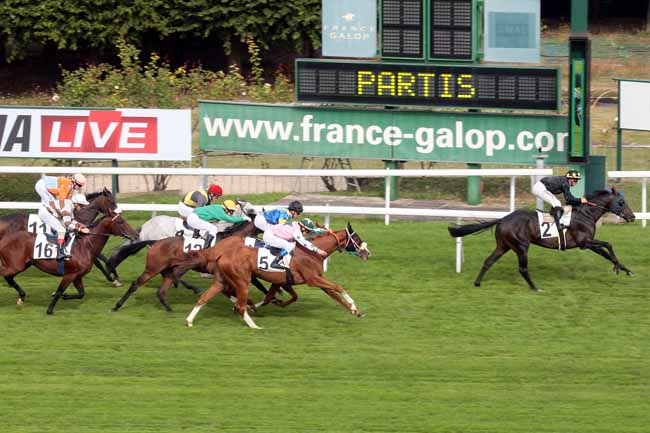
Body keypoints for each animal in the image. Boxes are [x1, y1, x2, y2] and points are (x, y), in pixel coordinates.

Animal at [0, 211, 138, 312]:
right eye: (120, 222)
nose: (136, 234)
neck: (85, 245)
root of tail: (4, 239)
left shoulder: (78, 276)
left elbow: (81, 294)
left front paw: (63, 296)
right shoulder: (69, 275)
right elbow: (59, 291)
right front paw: (50, 309)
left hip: (23, 264)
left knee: (9, 278)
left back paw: (21, 296)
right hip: (15, 265)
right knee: (6, 275)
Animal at [177, 224, 370, 330]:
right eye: (357, 238)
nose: (368, 253)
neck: (310, 252)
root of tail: (221, 253)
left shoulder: (284, 281)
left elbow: (273, 297)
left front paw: (356, 311)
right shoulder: (312, 279)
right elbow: (337, 287)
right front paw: (354, 307)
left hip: (221, 280)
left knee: (204, 298)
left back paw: (189, 320)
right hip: (242, 281)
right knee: (240, 305)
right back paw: (254, 325)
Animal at [446, 188, 632, 292]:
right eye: (622, 202)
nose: (632, 216)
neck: (586, 214)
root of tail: (502, 219)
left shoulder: (588, 243)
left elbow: (606, 253)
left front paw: (625, 269)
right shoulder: (584, 242)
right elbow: (609, 245)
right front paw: (617, 268)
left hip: (504, 245)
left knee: (488, 261)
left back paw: (477, 283)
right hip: (521, 246)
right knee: (522, 268)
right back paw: (535, 288)